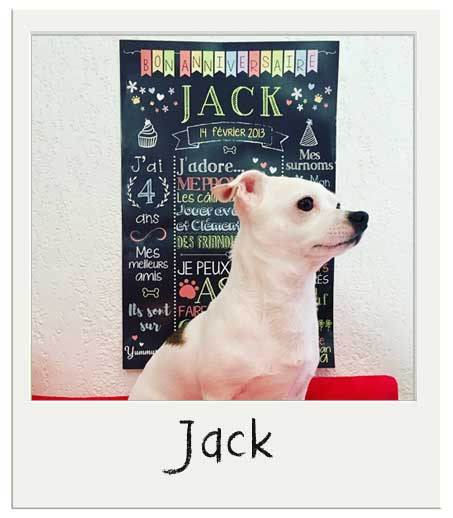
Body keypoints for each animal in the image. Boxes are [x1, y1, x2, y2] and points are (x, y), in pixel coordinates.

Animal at [129, 170, 368, 400]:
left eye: (337, 205)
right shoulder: (218, 394)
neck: (283, 300)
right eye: (306, 203)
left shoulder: (296, 392)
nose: (362, 216)